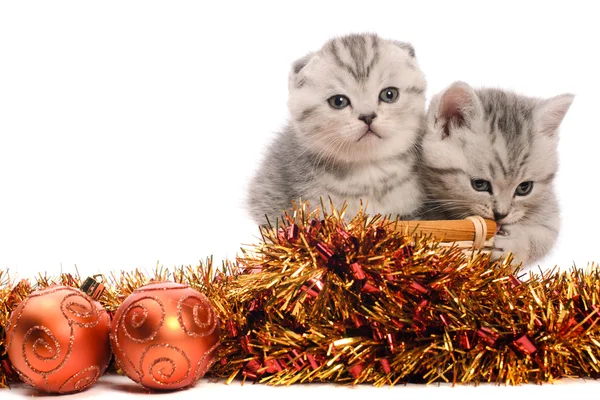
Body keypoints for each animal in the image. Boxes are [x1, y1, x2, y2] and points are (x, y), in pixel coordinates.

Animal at [420, 81, 576, 266]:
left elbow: (545, 235)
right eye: (479, 184)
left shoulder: (549, 210)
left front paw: (513, 246)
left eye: (524, 188)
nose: (501, 214)